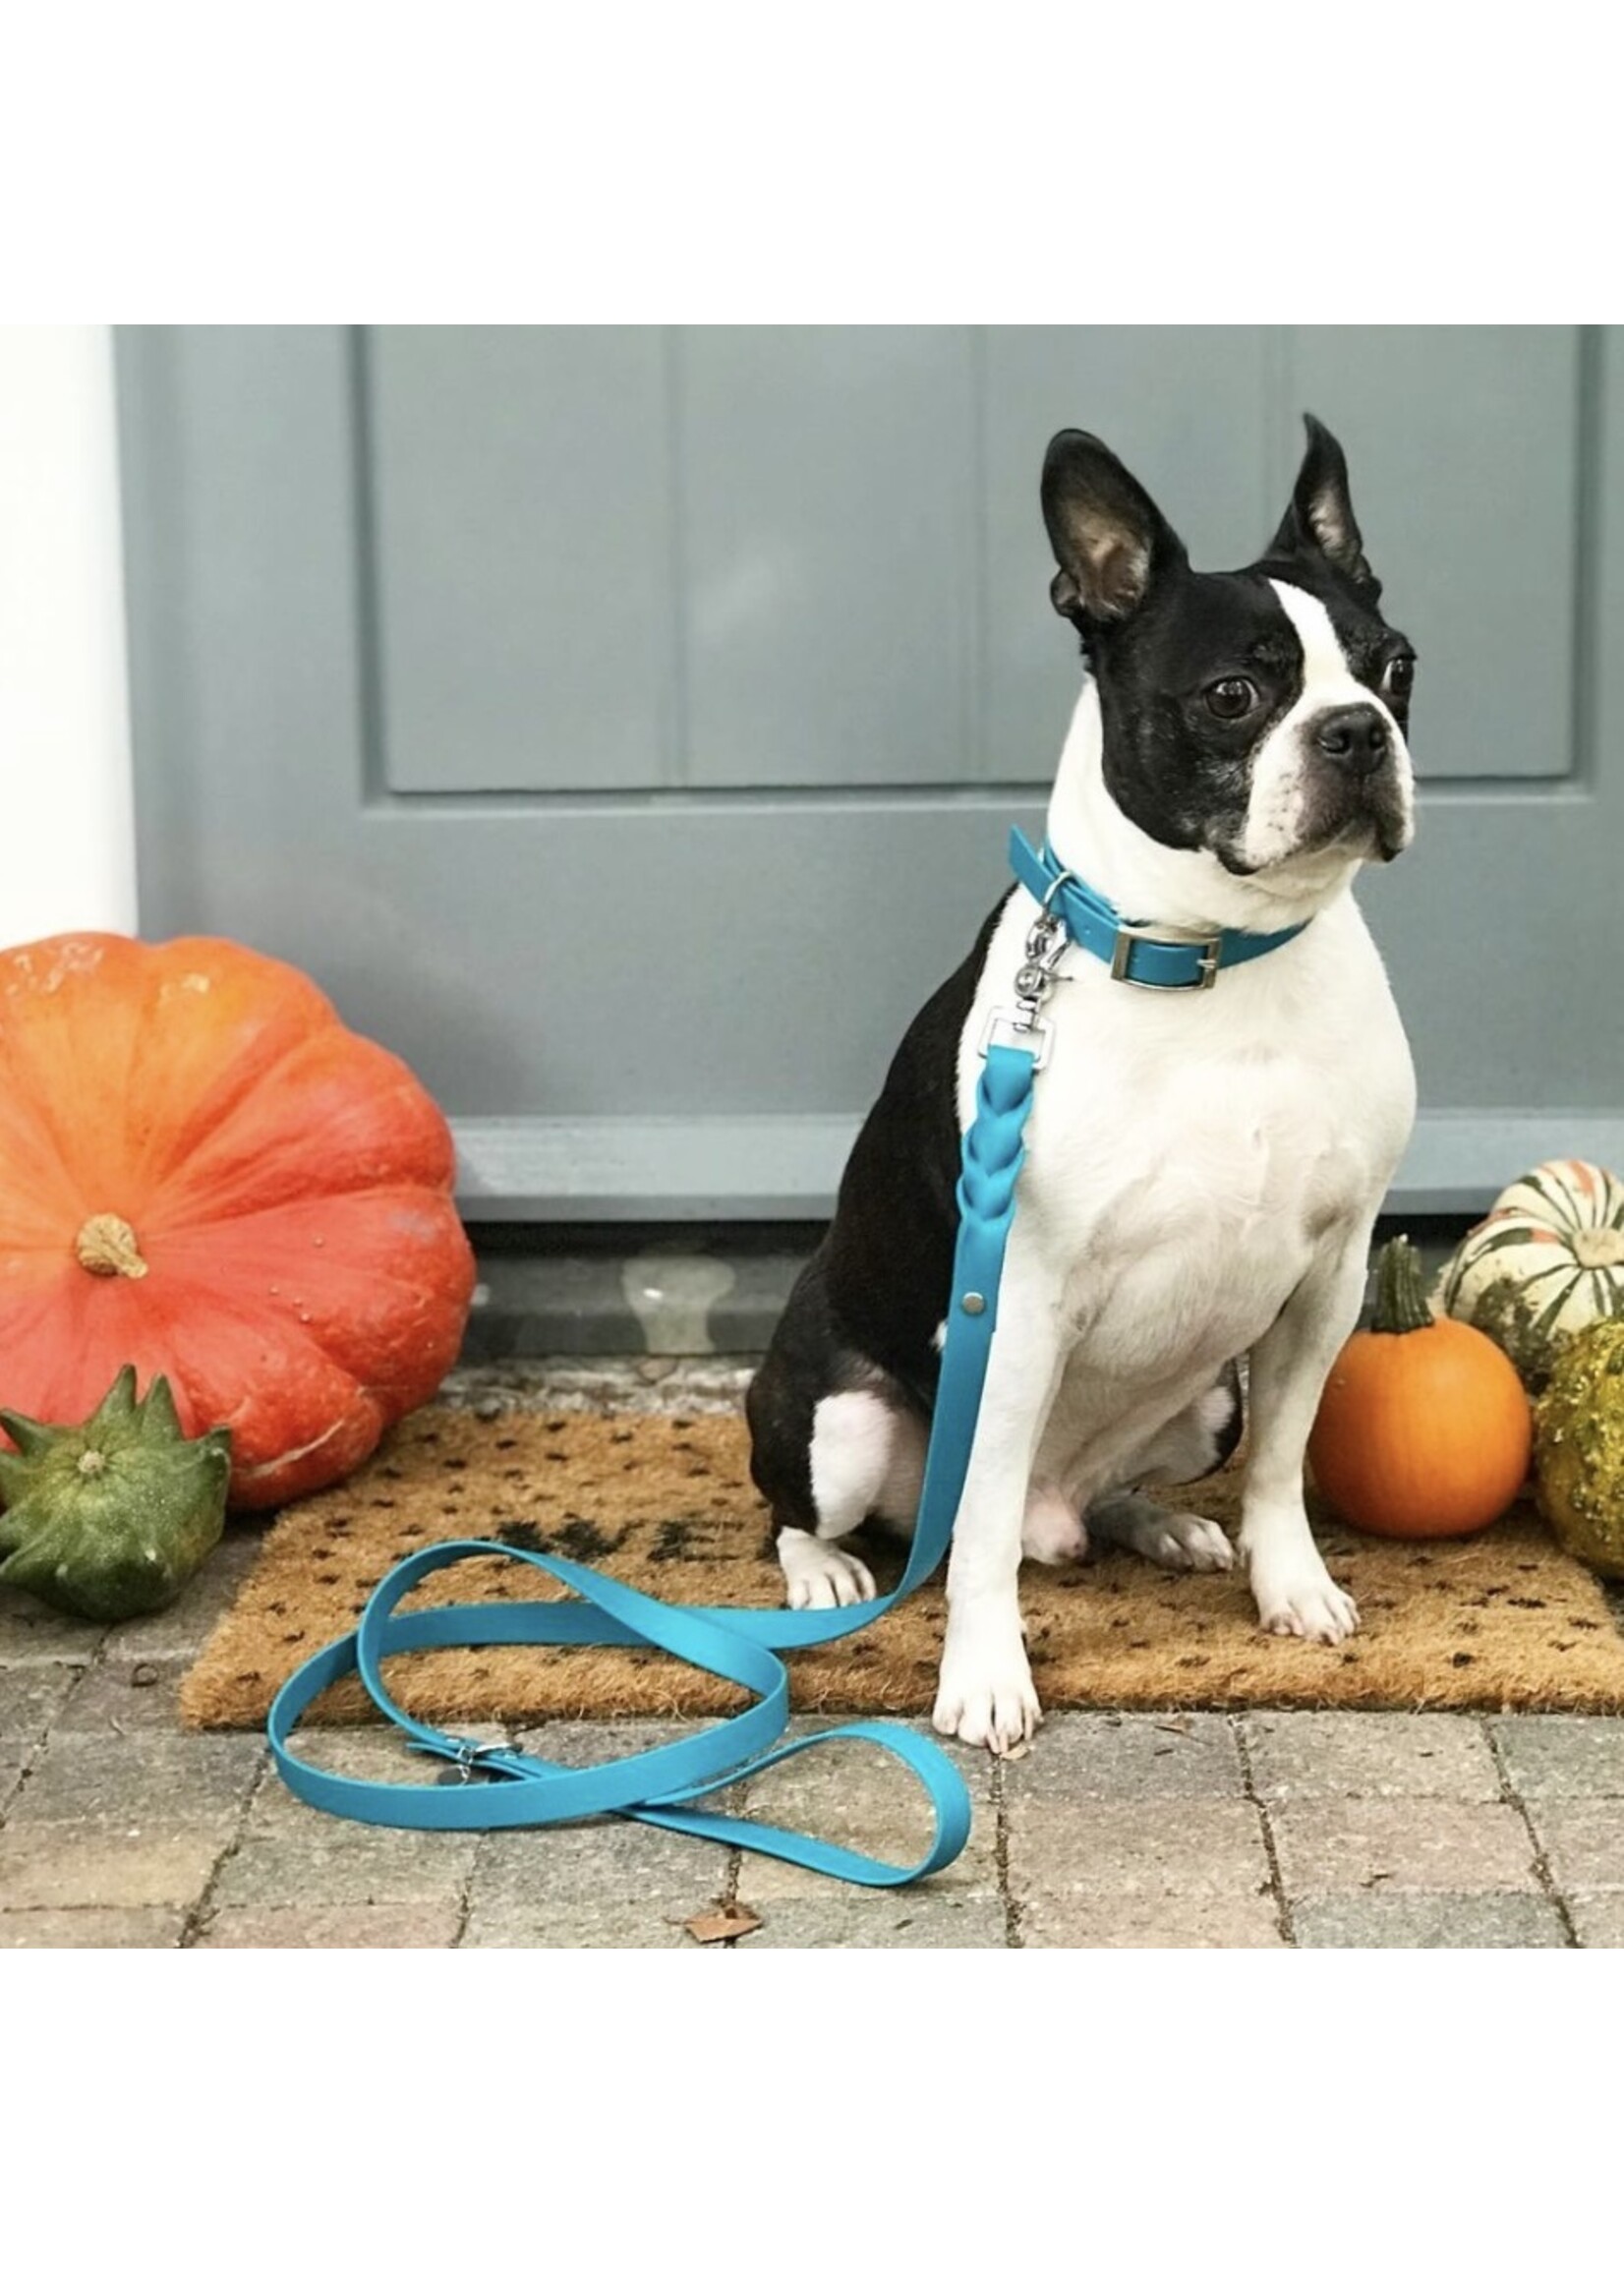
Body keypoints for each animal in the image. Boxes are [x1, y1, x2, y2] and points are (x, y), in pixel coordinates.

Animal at [741, 413, 1410, 1755]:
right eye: (1232, 695)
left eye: (1396, 668)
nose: (1357, 729)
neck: (1216, 955)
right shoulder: (1021, 1306)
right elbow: (980, 1532)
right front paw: (984, 1676)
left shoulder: (1329, 1274)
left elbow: (1282, 1459)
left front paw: (1289, 1583)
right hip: (839, 1422)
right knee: (838, 1509)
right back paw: (826, 1571)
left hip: (1202, 1401)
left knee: (1096, 1494)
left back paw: (1160, 1523)